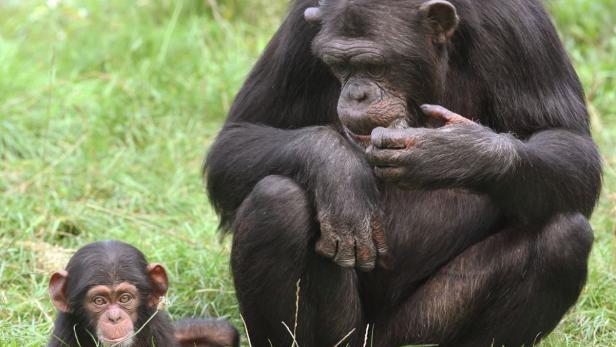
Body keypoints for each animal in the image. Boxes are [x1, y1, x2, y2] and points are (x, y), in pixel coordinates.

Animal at [205, 0, 600, 346]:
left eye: (375, 66)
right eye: (339, 65)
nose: (357, 94)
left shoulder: (521, 27)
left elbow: (569, 142)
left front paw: (451, 152)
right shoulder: (299, 30)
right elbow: (238, 136)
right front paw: (340, 173)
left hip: (414, 331)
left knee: (564, 237)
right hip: (347, 333)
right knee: (276, 202)